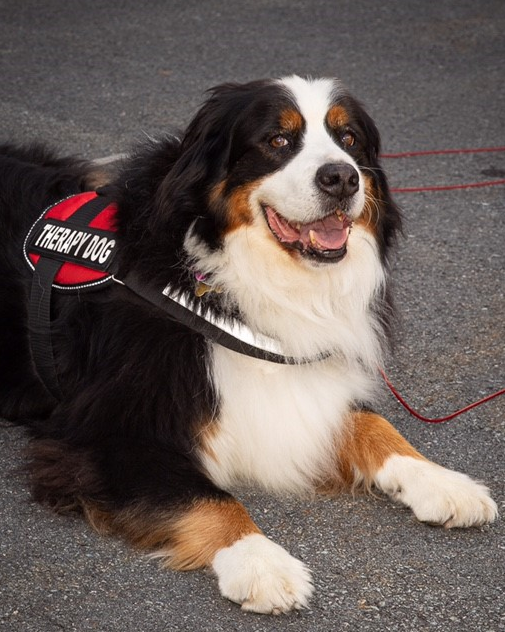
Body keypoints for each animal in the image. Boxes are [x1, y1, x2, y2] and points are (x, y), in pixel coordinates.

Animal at [0, 76, 496, 616]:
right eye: (277, 140)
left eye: (349, 139)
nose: (342, 178)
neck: (241, 282)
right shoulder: (106, 433)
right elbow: (210, 497)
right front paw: (261, 563)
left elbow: (374, 425)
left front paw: (444, 481)